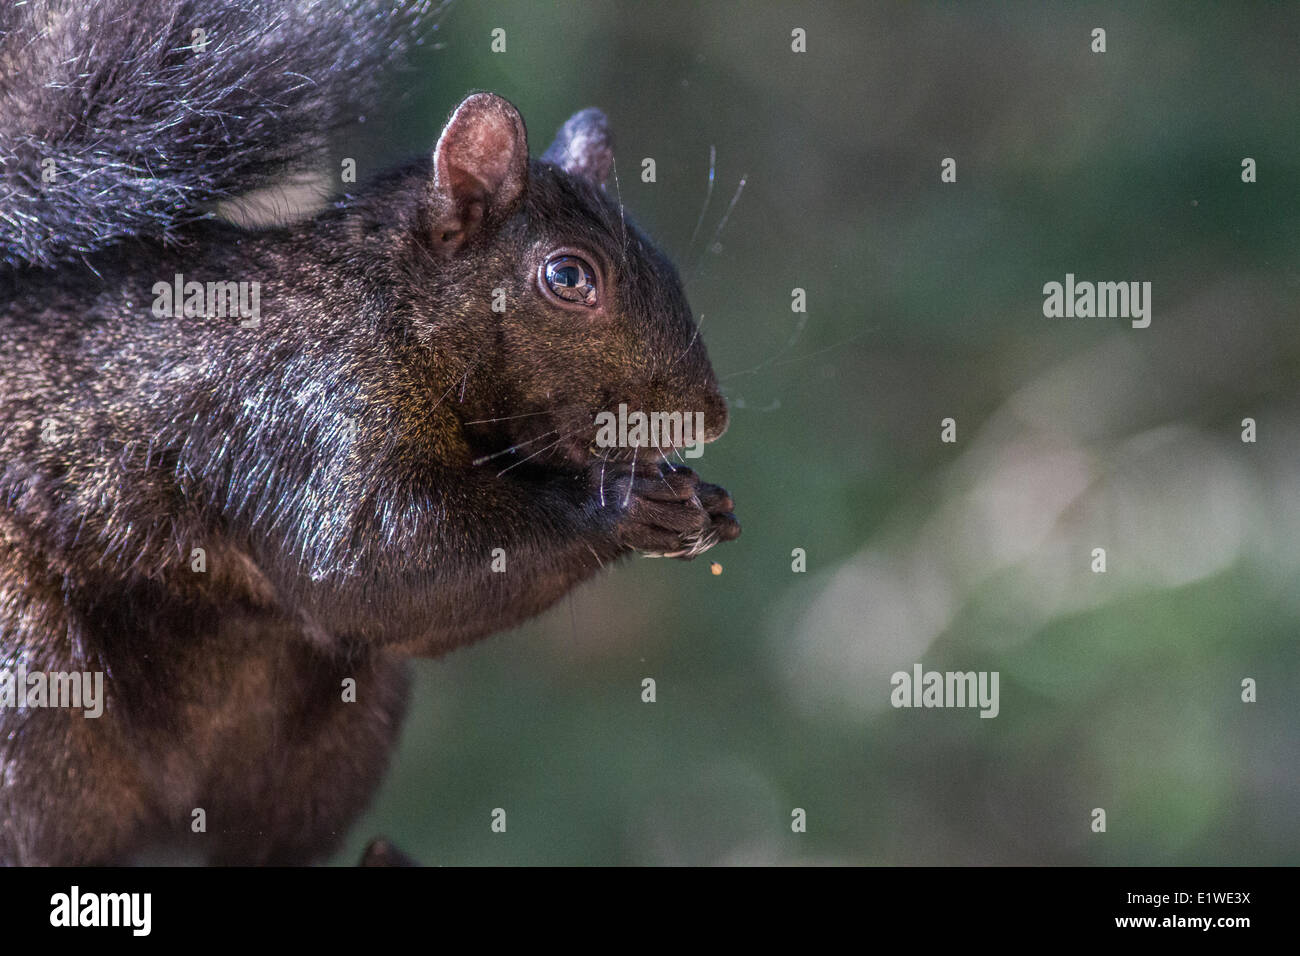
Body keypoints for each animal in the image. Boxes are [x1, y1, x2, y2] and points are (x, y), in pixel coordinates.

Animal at [0, 0, 738, 868]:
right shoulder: (303, 408)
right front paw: (625, 507)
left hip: (334, 742)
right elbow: (368, 564)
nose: (709, 415)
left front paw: (704, 503)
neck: (389, 304)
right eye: (567, 276)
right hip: (34, 700)